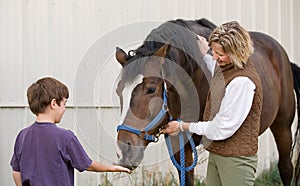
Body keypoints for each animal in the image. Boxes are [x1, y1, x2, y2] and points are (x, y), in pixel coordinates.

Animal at [114, 18, 298, 185]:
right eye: (118, 91)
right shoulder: (180, 145)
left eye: (151, 89)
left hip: (283, 127)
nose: (124, 151)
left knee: (286, 168)